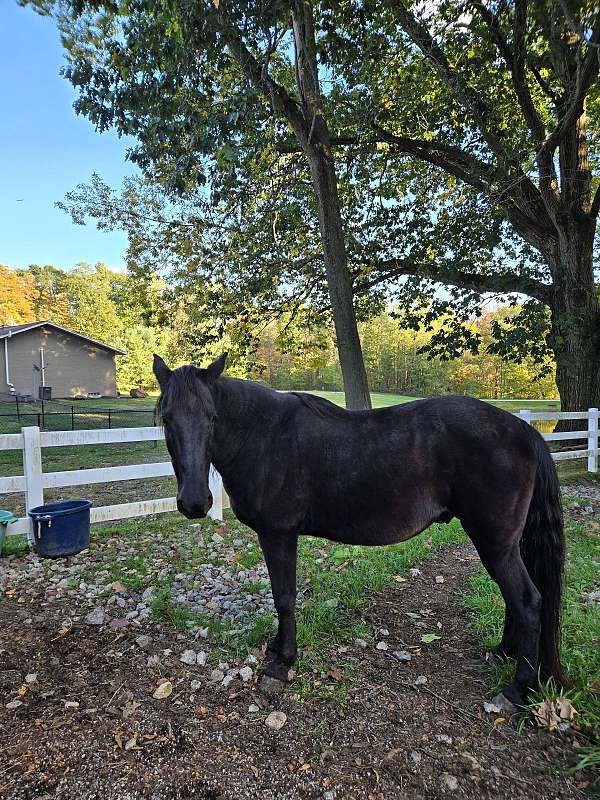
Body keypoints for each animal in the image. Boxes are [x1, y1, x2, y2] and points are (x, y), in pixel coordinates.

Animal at [152, 353, 566, 708]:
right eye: (166, 419)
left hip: (495, 543)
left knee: (527, 601)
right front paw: (275, 649)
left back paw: (517, 688)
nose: (195, 502)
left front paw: (282, 662)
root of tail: (522, 429)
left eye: (212, 417)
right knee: (515, 599)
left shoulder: (278, 534)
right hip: (504, 544)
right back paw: (502, 654)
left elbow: (284, 597)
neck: (266, 436)